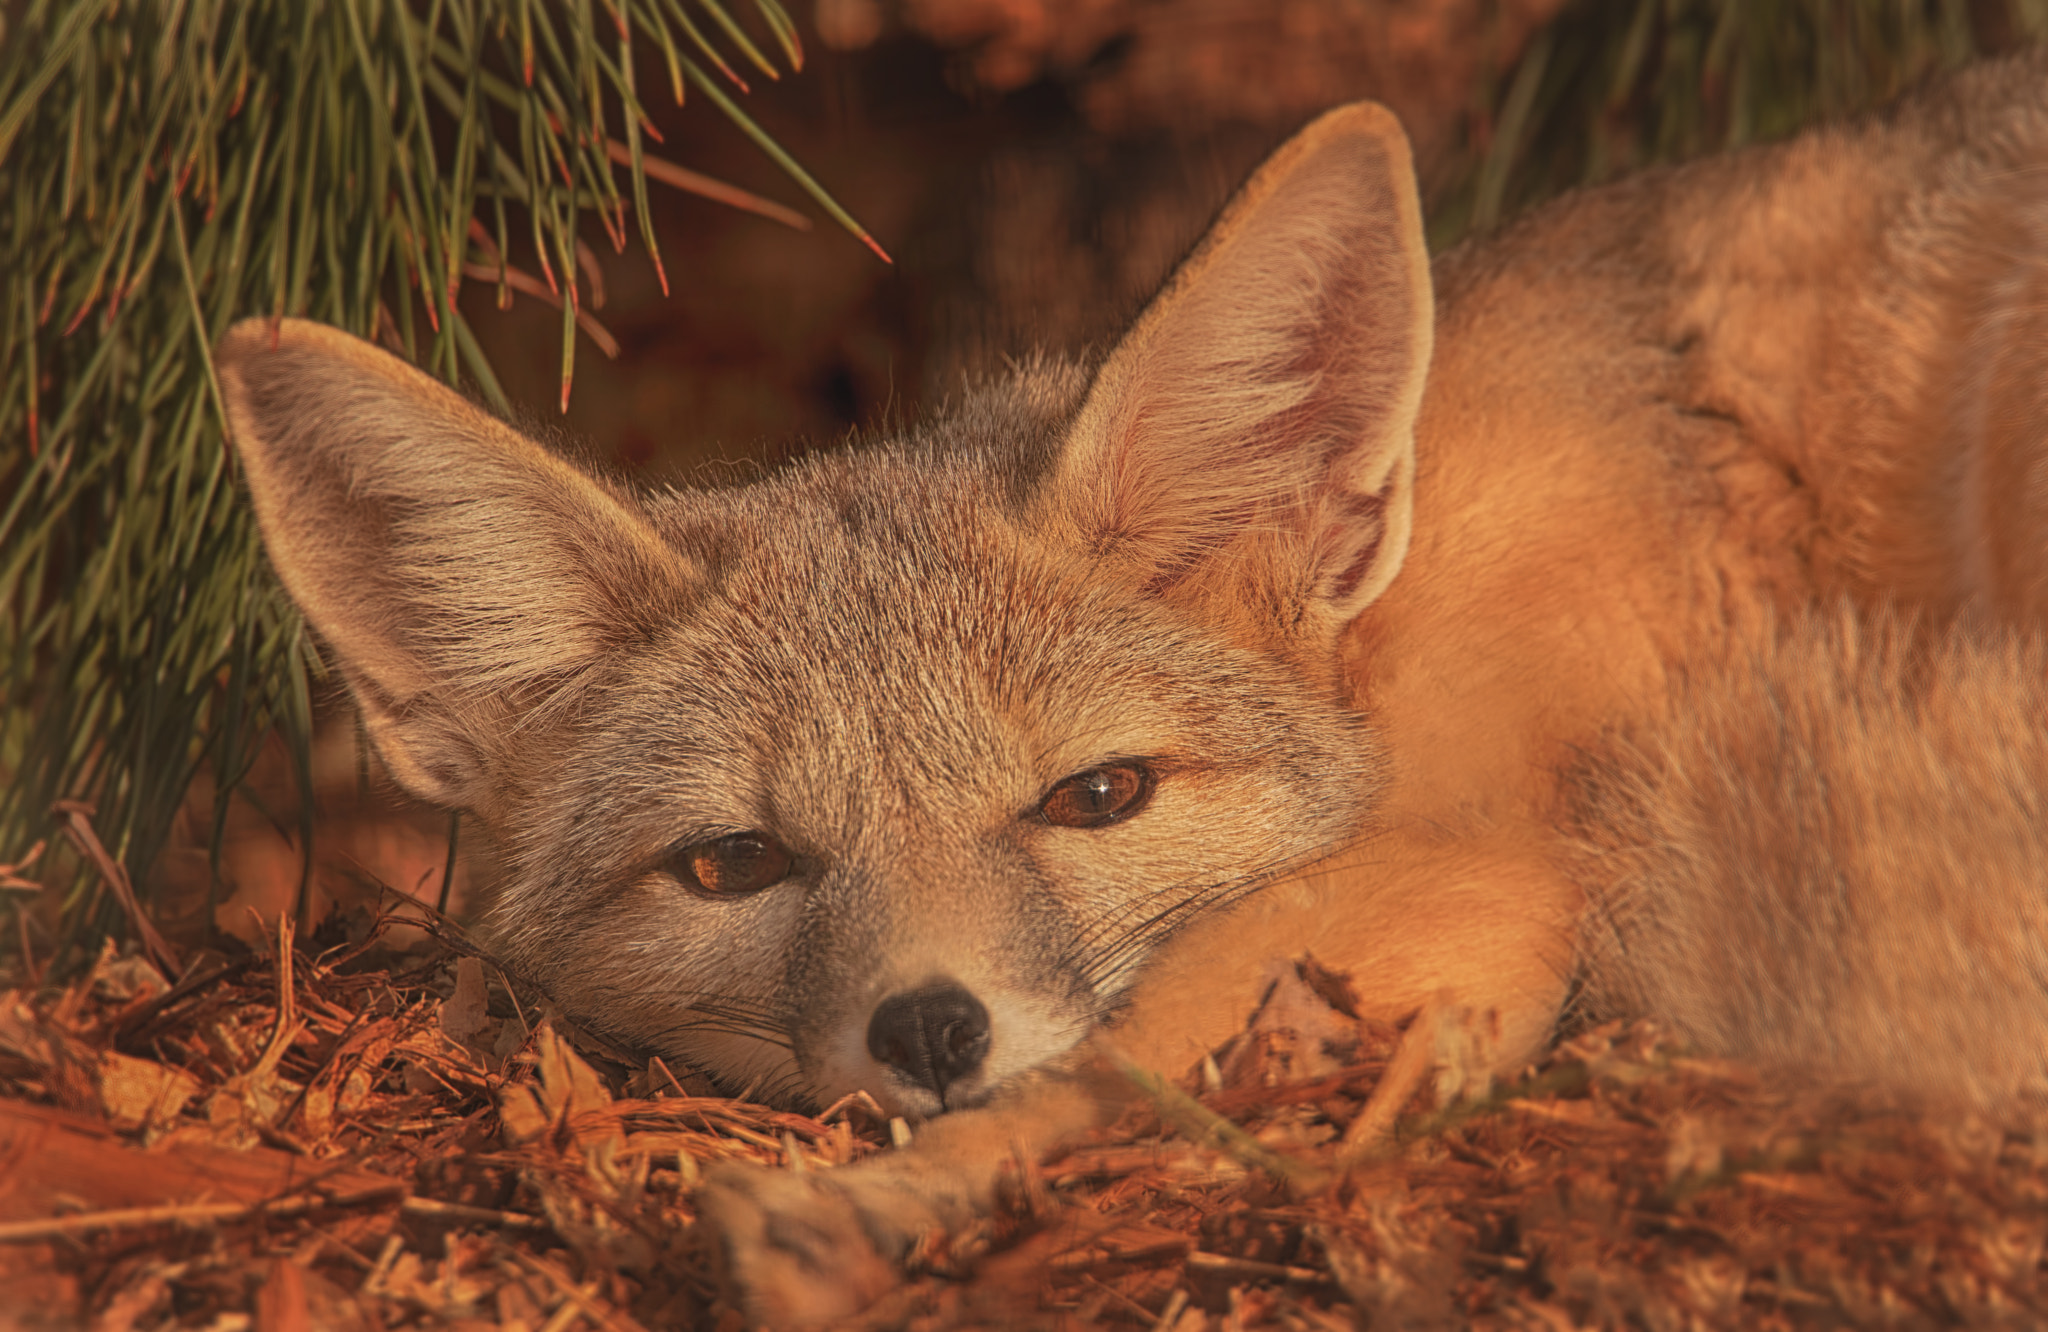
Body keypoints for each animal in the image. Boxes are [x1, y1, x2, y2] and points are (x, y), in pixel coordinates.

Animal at [211, 49, 2048, 1323]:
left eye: (1097, 795)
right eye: (733, 865)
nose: (930, 1027)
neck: (1387, 623)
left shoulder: (1488, 868)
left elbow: (1122, 1063)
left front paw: (872, 1210)